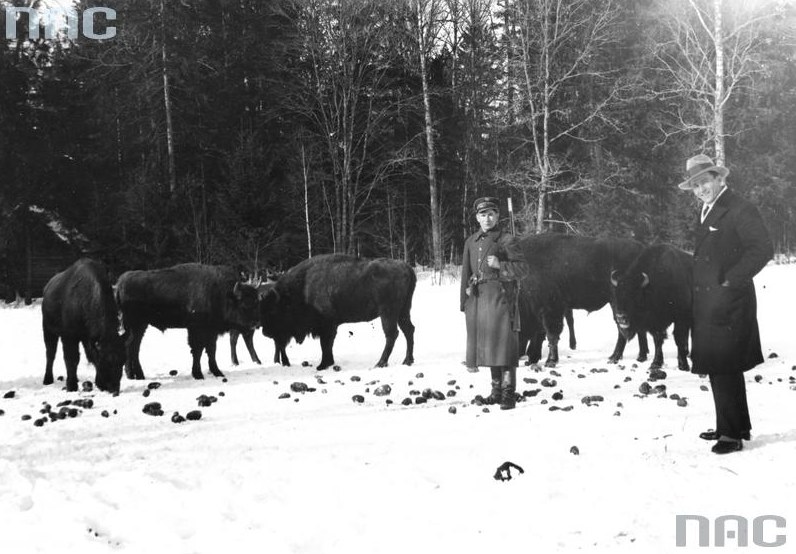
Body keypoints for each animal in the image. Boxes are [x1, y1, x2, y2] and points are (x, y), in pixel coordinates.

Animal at [41, 256, 126, 390]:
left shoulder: (88, 338)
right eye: (105, 361)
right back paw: (47, 379)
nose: (113, 387)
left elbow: (87, 356)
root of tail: (47, 287)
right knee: (50, 354)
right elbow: (71, 358)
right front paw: (71, 386)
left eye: (123, 361)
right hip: (48, 330)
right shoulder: (69, 336)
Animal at [116, 264, 258, 380]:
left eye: (256, 301)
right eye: (244, 304)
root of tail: (120, 283)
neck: (222, 294)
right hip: (136, 325)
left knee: (132, 346)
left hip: (139, 326)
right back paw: (135, 375)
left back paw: (135, 375)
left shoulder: (211, 331)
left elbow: (211, 350)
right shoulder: (196, 330)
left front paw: (217, 372)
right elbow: (197, 351)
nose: (255, 324)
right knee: (131, 346)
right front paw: (198, 374)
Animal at [262, 253, 416, 366]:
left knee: (392, 334)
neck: (303, 288)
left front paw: (323, 365)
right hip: (403, 311)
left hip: (388, 312)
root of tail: (406, 267)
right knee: (408, 330)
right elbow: (327, 345)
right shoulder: (329, 325)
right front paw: (328, 363)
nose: (265, 332)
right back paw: (407, 360)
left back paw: (381, 363)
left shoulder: (327, 325)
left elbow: (325, 344)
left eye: (274, 310)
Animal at [520, 233, 648, 366]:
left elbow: (551, 335)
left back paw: (615, 357)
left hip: (618, 304)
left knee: (622, 328)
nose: (521, 356)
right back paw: (639, 356)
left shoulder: (551, 309)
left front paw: (550, 361)